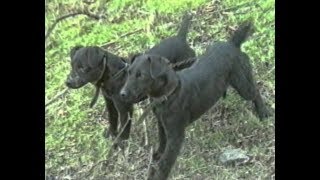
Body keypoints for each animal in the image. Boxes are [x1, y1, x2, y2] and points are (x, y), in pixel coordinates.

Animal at [64, 12, 195, 141]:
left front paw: (121, 141)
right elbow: (112, 120)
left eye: (83, 68)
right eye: (72, 66)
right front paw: (111, 134)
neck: (114, 75)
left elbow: (123, 127)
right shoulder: (110, 104)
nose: (67, 82)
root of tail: (181, 38)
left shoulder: (124, 109)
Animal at [121, 20, 272, 179]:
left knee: (255, 92)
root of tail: (232, 44)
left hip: (242, 84)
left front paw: (159, 174)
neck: (169, 94)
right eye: (129, 72)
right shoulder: (162, 124)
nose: (122, 94)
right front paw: (156, 158)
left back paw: (263, 113)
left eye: (141, 75)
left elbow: (166, 161)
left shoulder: (176, 136)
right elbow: (161, 144)